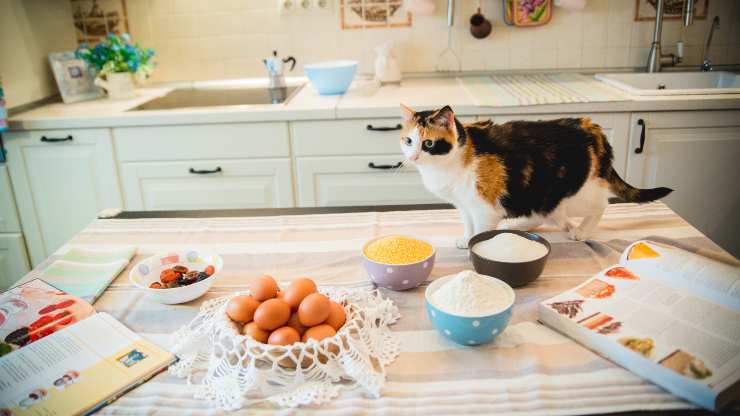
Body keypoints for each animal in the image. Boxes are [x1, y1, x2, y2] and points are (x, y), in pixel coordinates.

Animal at [402, 104, 672, 249]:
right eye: (408, 140)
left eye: (428, 143)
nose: (413, 157)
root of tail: (591, 127)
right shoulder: (464, 205)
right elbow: (469, 225)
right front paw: (466, 238)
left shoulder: (483, 207)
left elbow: (480, 229)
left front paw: (475, 245)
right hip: (539, 195)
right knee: (543, 214)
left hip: (575, 192)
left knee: (601, 204)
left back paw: (581, 231)